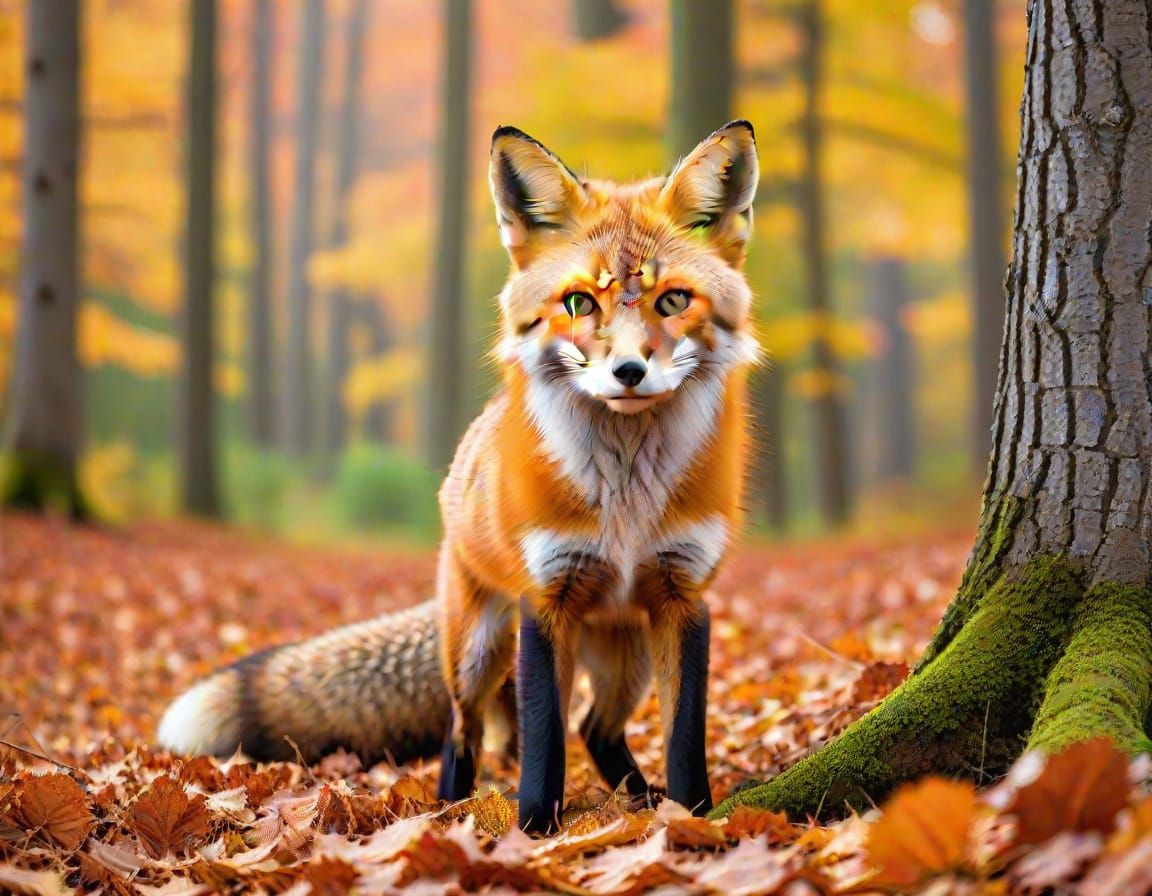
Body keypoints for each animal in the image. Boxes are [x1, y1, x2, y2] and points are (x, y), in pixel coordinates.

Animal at [158, 120, 760, 834]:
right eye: (579, 302)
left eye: (673, 300)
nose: (630, 373)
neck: (626, 498)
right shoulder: (546, 599)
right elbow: (543, 742)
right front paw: (534, 832)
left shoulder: (683, 597)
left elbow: (684, 736)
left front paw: (695, 818)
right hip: (478, 648)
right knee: (465, 729)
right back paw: (454, 806)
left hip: (627, 653)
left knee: (597, 729)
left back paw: (638, 801)